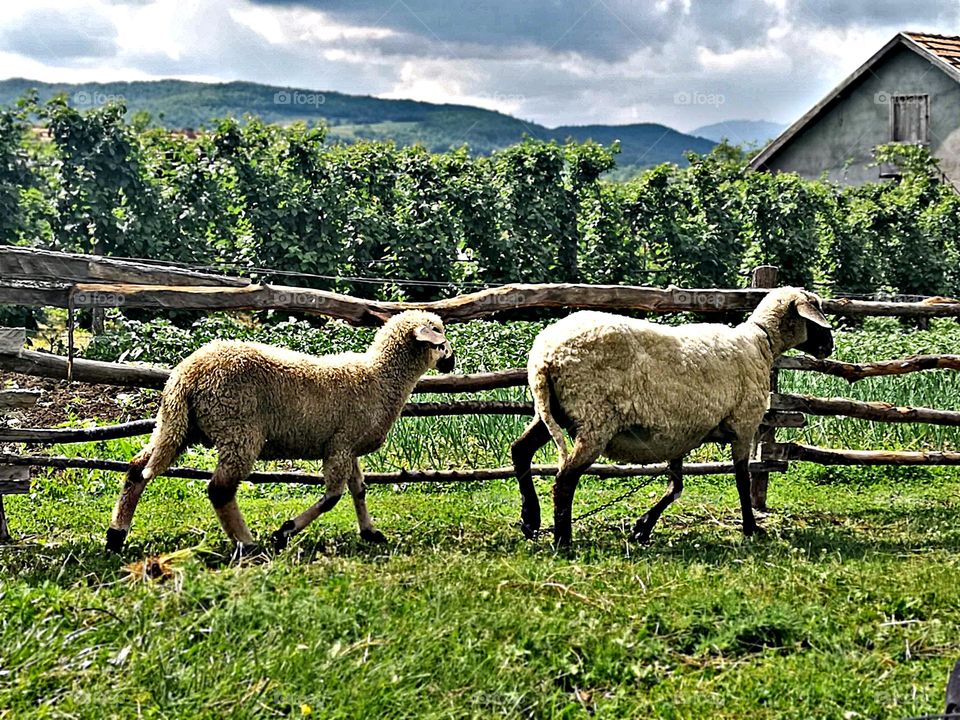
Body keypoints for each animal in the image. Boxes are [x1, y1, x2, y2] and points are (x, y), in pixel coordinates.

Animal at [105, 310, 455, 555]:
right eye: (440, 337)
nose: (451, 363)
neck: (381, 378)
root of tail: (187, 374)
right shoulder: (340, 447)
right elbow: (332, 498)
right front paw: (285, 532)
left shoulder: (347, 445)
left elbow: (359, 490)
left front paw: (370, 532)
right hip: (238, 429)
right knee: (220, 490)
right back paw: (247, 544)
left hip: (176, 425)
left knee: (138, 468)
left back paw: (116, 535)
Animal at [511, 286, 833, 547]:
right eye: (817, 317)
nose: (830, 347)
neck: (761, 343)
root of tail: (544, 358)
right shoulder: (743, 426)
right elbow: (742, 479)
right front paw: (751, 527)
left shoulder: (679, 433)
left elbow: (676, 486)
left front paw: (643, 527)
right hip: (594, 417)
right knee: (565, 478)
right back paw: (563, 541)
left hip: (553, 411)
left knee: (520, 450)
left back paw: (531, 519)